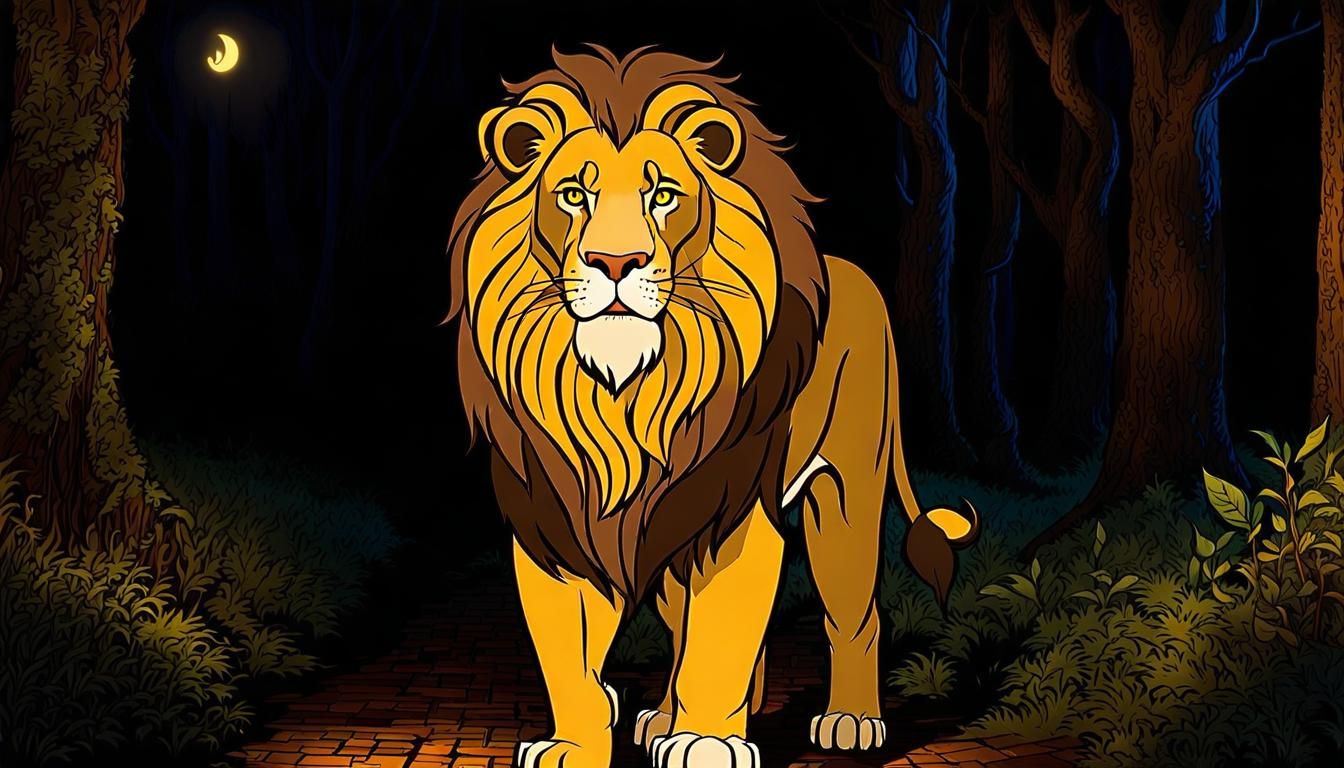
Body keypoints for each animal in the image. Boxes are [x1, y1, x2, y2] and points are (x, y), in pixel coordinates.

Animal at [445, 46, 979, 768]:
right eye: (574, 194)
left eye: (663, 194)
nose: (617, 261)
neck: (625, 391)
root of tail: (859, 274)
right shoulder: (552, 526)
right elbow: (571, 658)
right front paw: (575, 745)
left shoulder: (735, 515)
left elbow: (721, 634)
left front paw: (707, 742)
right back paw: (663, 718)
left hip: (847, 493)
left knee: (854, 613)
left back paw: (851, 720)